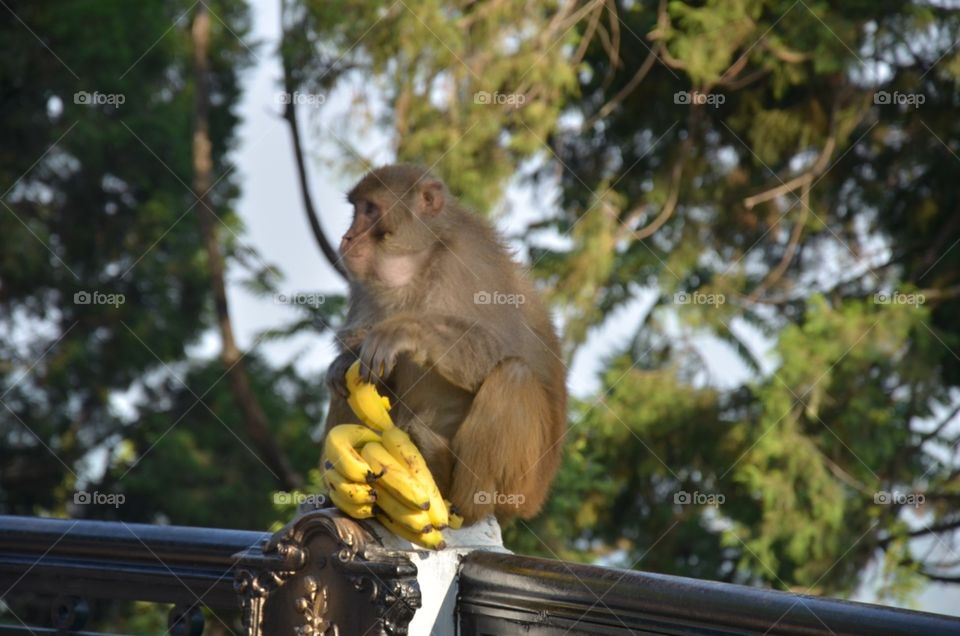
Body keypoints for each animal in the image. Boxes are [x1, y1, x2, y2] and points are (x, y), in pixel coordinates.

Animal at [324, 163, 567, 524]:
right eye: (356, 209)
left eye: (370, 210)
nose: (348, 237)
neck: (419, 264)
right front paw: (345, 359)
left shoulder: (470, 260)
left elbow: (499, 346)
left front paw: (404, 332)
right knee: (345, 386)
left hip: (523, 483)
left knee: (514, 376)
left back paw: (466, 500)